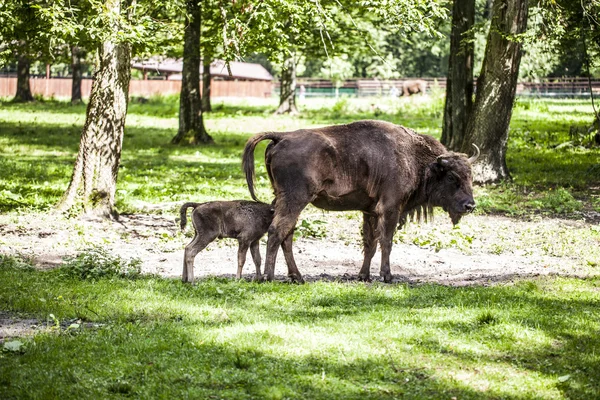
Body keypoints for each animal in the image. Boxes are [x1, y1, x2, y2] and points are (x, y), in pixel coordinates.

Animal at [244, 120, 478, 282]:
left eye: (470, 176)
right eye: (452, 177)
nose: (470, 205)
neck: (414, 158)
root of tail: (282, 137)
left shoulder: (370, 212)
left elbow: (370, 243)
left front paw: (363, 275)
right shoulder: (390, 209)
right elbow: (386, 241)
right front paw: (387, 276)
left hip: (286, 200)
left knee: (287, 235)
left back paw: (297, 277)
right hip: (295, 200)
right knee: (277, 231)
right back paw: (270, 277)